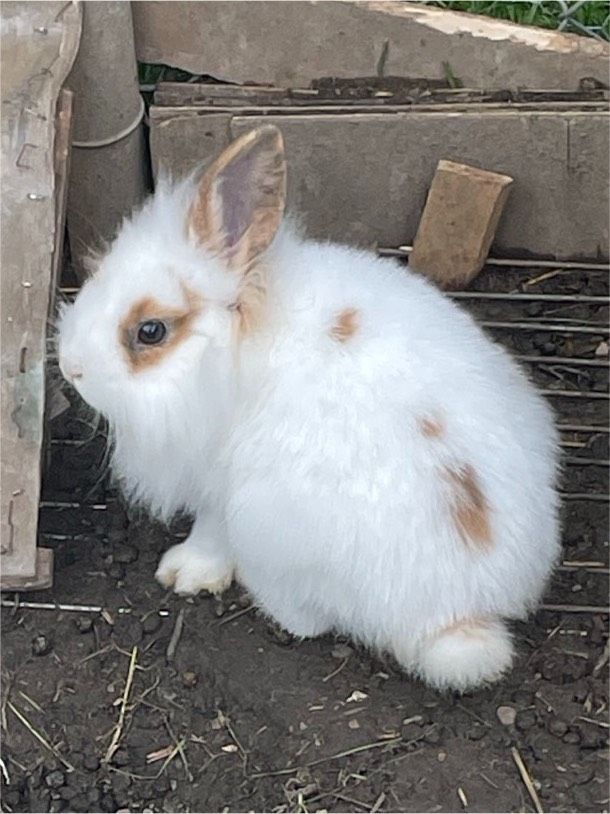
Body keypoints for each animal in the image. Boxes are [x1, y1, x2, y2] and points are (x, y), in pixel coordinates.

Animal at [59, 124, 560, 692]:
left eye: (151, 331)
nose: (70, 366)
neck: (231, 350)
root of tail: (461, 614)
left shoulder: (218, 484)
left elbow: (210, 532)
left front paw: (184, 572)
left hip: (268, 519)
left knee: (310, 621)